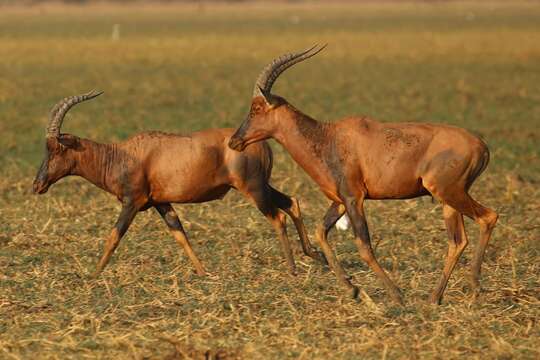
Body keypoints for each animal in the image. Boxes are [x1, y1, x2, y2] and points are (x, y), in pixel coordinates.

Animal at [32, 91, 324, 278]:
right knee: (292, 202)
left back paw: (293, 268)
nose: (37, 185)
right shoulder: (162, 203)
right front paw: (203, 272)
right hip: (262, 186)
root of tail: (261, 143)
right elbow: (180, 234)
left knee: (277, 217)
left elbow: (114, 235)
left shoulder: (133, 202)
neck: (123, 154)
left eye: (56, 148)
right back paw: (314, 254)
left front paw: (92, 275)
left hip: (253, 189)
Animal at [228, 44, 498, 304]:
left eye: (256, 108)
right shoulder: (339, 201)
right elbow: (321, 232)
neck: (328, 138)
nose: (234, 141)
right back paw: (434, 298)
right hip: (448, 200)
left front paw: (396, 295)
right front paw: (353, 289)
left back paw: (474, 288)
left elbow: (364, 246)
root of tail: (482, 147)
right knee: (458, 241)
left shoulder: (354, 198)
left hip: (450, 192)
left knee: (488, 217)